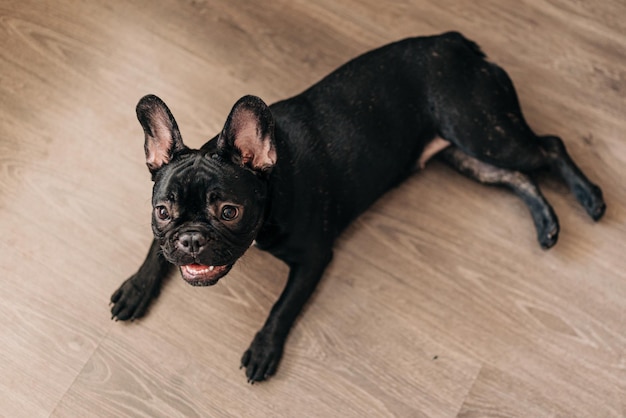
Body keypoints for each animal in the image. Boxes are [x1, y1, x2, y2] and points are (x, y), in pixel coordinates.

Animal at [109, 32, 604, 384]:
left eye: (229, 211)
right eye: (163, 212)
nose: (191, 239)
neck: (273, 184)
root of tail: (457, 42)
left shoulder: (313, 259)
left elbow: (283, 306)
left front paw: (265, 348)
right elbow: (155, 251)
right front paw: (136, 287)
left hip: (481, 130)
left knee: (549, 148)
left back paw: (590, 199)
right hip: (466, 153)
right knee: (519, 177)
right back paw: (546, 224)